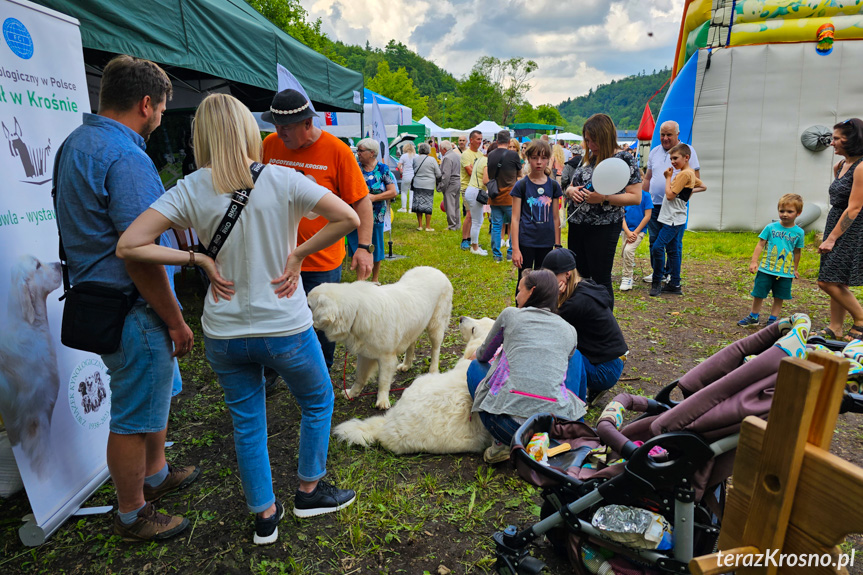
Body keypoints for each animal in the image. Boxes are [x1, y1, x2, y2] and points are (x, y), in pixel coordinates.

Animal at [312, 268, 460, 412]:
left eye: (309, 305)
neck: (356, 312)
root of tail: (436, 270)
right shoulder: (364, 354)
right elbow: (359, 376)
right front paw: (352, 393)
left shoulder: (386, 357)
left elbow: (382, 381)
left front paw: (382, 400)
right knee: (411, 344)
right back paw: (406, 364)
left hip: (435, 326)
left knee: (435, 349)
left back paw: (433, 371)